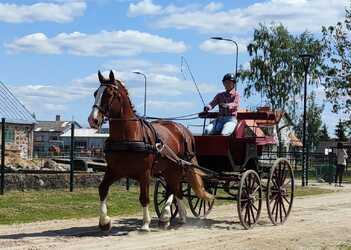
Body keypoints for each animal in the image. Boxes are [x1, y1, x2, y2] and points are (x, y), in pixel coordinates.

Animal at [89, 69, 213, 231]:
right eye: (95, 93)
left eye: (109, 94)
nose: (93, 120)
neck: (128, 137)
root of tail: (183, 130)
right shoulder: (114, 170)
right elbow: (102, 189)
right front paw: (104, 221)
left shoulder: (144, 173)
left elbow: (144, 198)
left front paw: (145, 224)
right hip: (168, 169)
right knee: (175, 189)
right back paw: (177, 217)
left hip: (176, 168)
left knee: (174, 189)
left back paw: (166, 216)